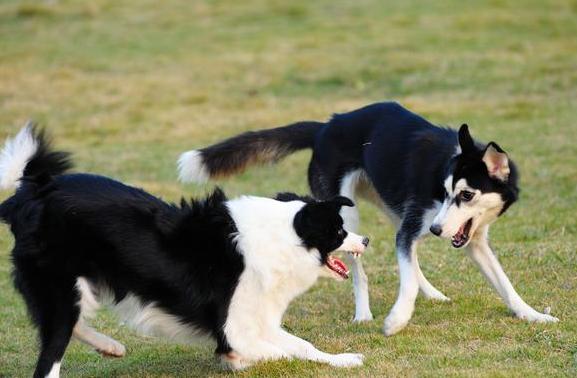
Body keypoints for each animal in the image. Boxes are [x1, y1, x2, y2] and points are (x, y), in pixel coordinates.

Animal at [0, 125, 366, 376]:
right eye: (339, 230)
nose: (365, 241)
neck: (283, 236)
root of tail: (32, 192)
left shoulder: (260, 321)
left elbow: (303, 346)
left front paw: (343, 359)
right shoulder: (235, 330)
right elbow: (283, 352)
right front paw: (240, 361)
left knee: (66, 322)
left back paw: (110, 346)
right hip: (61, 286)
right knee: (52, 350)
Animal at [179, 101, 560, 336]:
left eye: (466, 195)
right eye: (446, 191)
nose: (437, 229)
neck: (447, 161)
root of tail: (327, 125)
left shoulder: (472, 239)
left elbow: (504, 284)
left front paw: (532, 314)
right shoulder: (415, 226)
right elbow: (405, 280)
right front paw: (396, 321)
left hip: (391, 207)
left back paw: (432, 292)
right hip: (347, 217)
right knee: (359, 270)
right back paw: (363, 314)